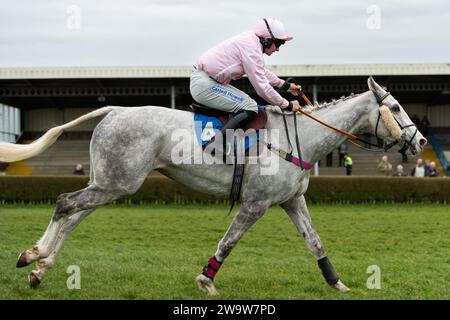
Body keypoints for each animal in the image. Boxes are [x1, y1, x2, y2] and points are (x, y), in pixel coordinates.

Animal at [0, 77, 426, 296]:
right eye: (397, 108)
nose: (421, 141)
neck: (299, 138)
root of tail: (115, 109)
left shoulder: (292, 201)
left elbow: (315, 242)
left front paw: (336, 282)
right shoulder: (255, 204)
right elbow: (229, 241)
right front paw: (206, 279)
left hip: (110, 182)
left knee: (73, 214)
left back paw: (40, 268)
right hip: (116, 183)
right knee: (64, 203)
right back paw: (33, 255)